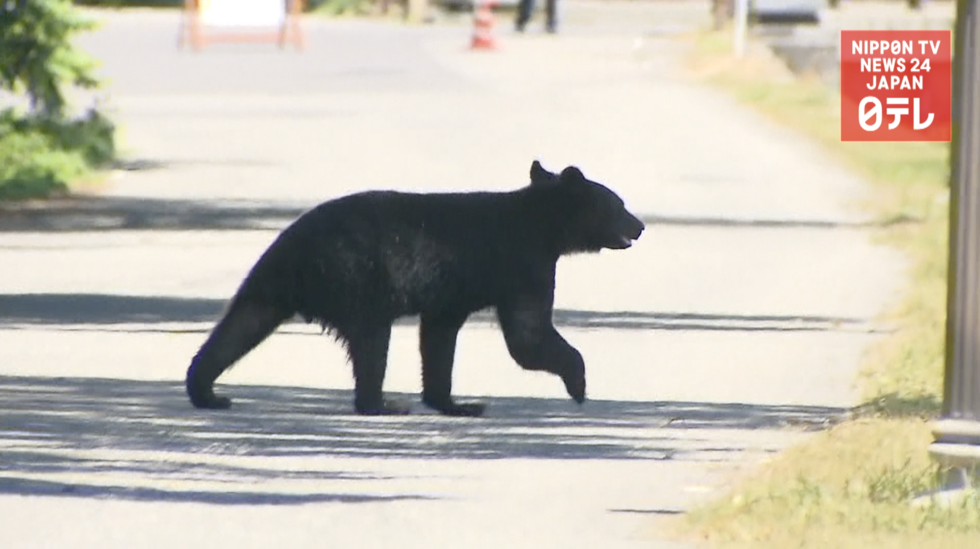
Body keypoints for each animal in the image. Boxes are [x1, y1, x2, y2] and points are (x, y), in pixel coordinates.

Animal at [185, 160, 645, 417]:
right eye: (619, 204)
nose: (639, 225)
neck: (543, 226)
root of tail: (293, 249)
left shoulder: (451, 294)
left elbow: (440, 339)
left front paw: (456, 403)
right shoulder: (522, 263)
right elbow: (527, 335)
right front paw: (579, 383)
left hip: (269, 285)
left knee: (240, 326)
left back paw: (206, 391)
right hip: (360, 277)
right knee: (372, 342)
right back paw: (381, 403)